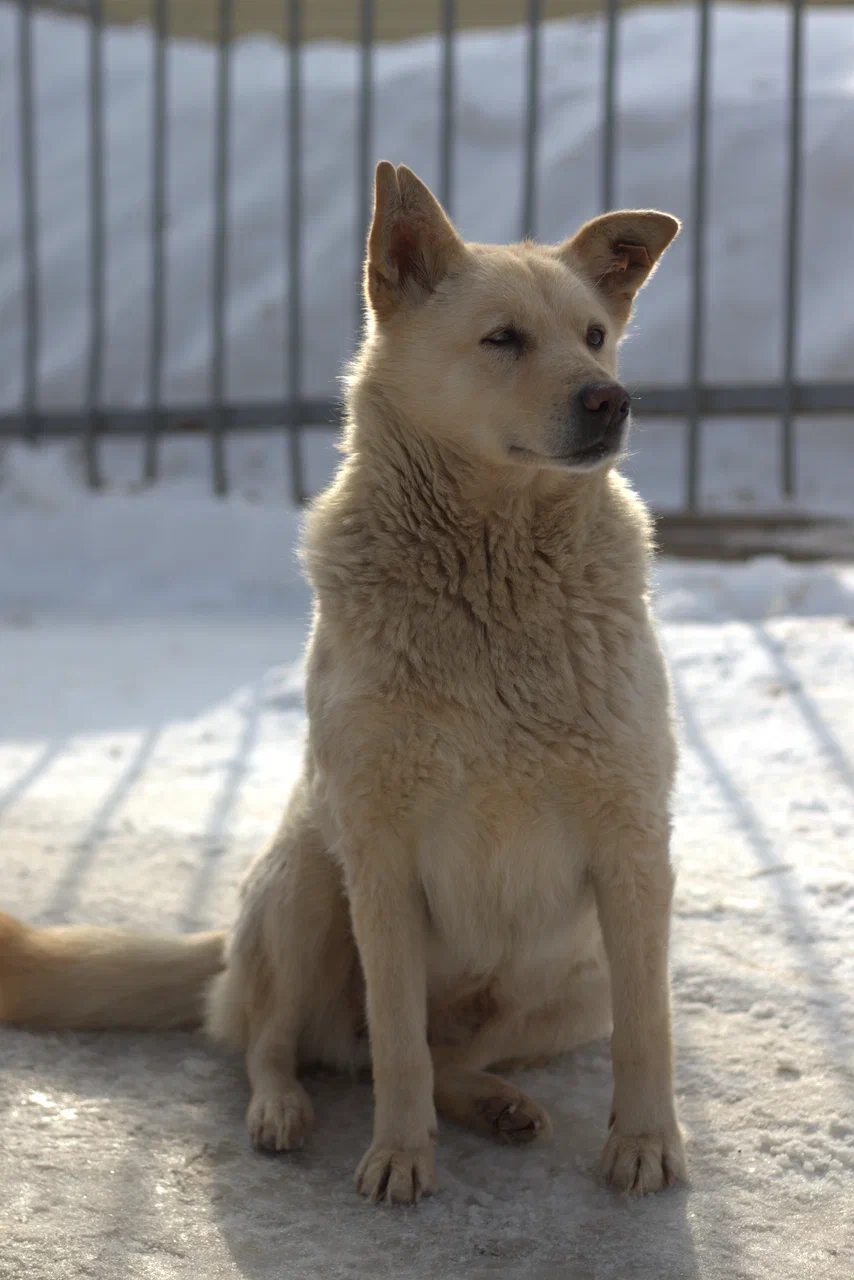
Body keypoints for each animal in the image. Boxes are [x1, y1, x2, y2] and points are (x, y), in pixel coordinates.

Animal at [0, 162, 685, 1204]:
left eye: (596, 335)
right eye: (503, 338)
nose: (612, 400)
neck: (494, 579)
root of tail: (223, 941)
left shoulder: (632, 848)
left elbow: (650, 1034)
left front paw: (645, 1144)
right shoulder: (381, 856)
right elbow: (398, 1041)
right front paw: (398, 1158)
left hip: (580, 977)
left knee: (448, 1056)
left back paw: (497, 1102)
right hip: (310, 885)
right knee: (282, 1041)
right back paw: (282, 1109)